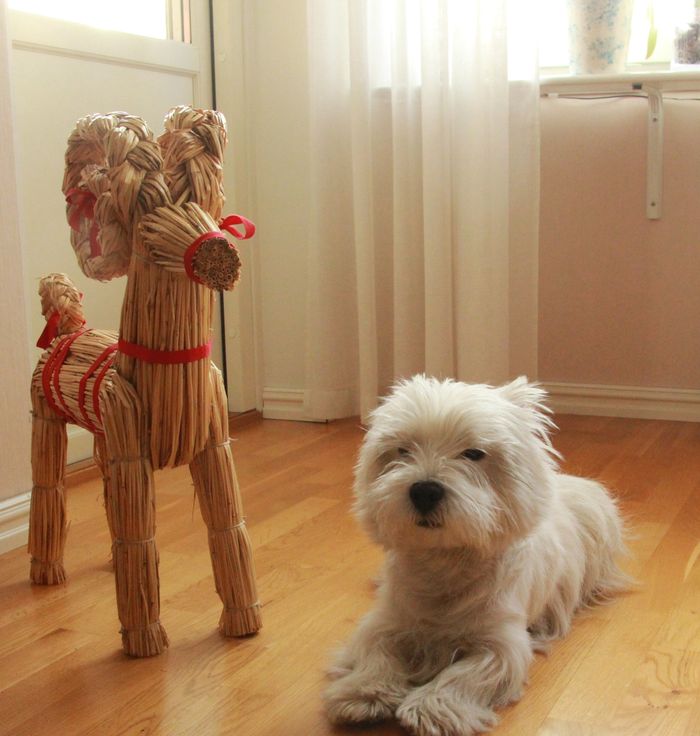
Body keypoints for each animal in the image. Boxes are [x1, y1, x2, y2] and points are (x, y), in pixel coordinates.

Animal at [324, 375, 628, 736]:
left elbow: (464, 674)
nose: (424, 491)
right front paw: (363, 693)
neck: (444, 562)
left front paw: (432, 709)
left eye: (473, 453)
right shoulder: (387, 620)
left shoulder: (501, 642)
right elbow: (375, 652)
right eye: (402, 450)